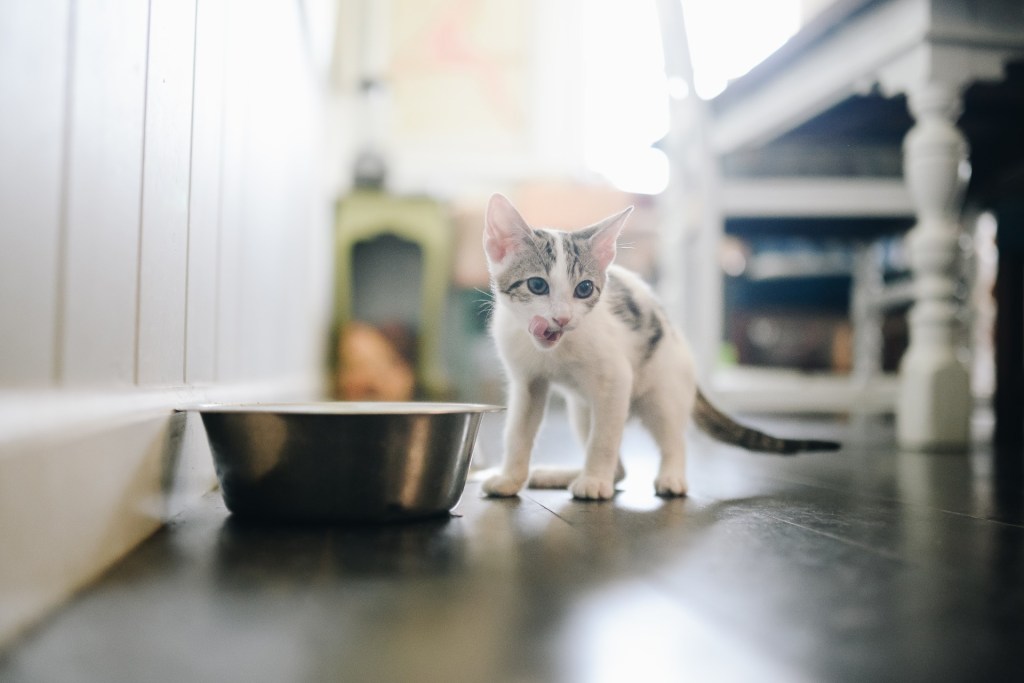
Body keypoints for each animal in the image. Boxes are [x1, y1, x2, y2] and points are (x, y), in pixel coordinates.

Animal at [483, 194, 835, 499]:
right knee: (619, 467)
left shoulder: (617, 379)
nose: (562, 318)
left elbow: (604, 439)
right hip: (582, 408)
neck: (555, 351)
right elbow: (518, 431)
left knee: (672, 438)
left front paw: (594, 481)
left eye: (584, 289)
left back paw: (669, 477)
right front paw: (510, 479)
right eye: (537, 285)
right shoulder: (528, 382)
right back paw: (562, 475)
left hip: (662, 391)